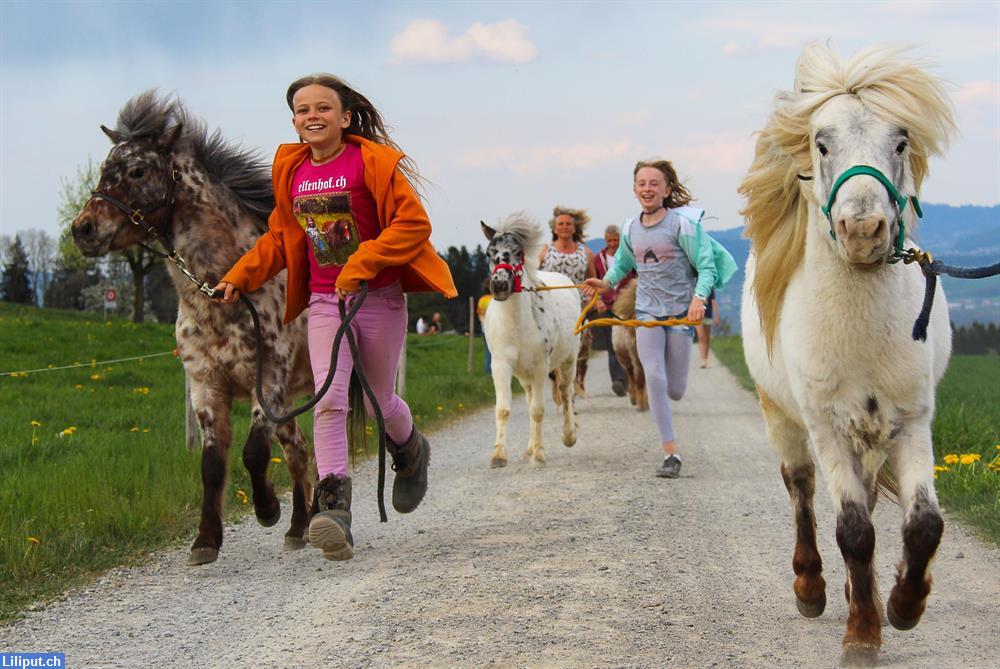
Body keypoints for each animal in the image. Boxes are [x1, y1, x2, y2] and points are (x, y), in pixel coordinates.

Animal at [72, 92, 312, 564]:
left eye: (137, 170)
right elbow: (212, 464)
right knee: (298, 450)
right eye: (104, 169)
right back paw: (299, 527)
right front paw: (205, 541)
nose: (82, 229)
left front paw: (267, 510)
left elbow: (253, 453)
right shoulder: (205, 386)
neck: (224, 291)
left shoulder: (267, 382)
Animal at [482, 214, 584, 464]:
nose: (499, 285)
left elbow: (538, 410)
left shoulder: (540, 366)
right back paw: (528, 448)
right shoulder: (501, 365)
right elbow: (503, 409)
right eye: (489, 253)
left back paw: (568, 436)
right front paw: (499, 456)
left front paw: (539, 455)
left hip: (568, 361)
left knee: (565, 392)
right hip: (523, 374)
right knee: (529, 398)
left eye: (518, 251)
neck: (518, 325)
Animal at [608, 278, 648, 412]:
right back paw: (634, 399)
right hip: (624, 357)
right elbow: (639, 379)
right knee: (631, 376)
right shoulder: (635, 358)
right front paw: (640, 405)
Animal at [740, 44, 956, 664]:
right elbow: (853, 530)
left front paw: (904, 606)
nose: (863, 229)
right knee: (803, 492)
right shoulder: (828, 427)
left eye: (901, 140)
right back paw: (812, 588)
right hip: (783, 419)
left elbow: (924, 525)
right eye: (821, 142)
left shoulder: (911, 422)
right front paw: (861, 635)